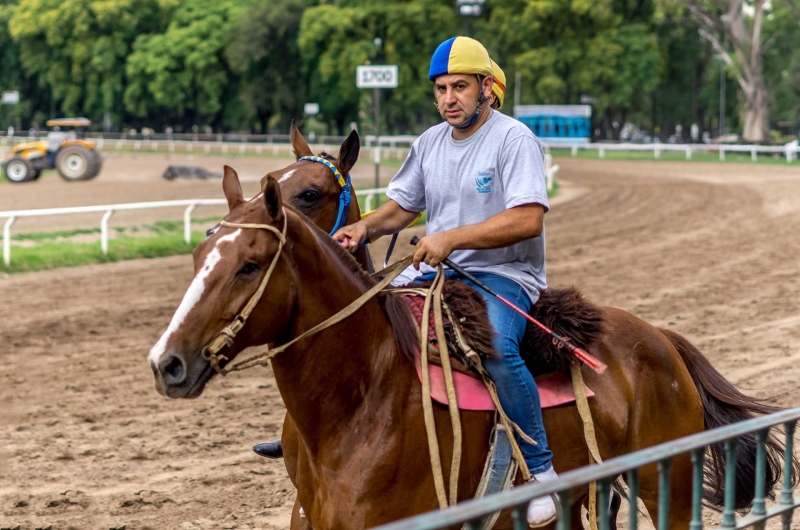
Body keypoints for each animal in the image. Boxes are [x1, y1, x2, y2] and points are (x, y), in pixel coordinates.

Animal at [150, 167, 788, 524]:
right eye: (197, 256)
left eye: (249, 264)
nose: (167, 363)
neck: (361, 403)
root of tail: (663, 340)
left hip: (668, 488)